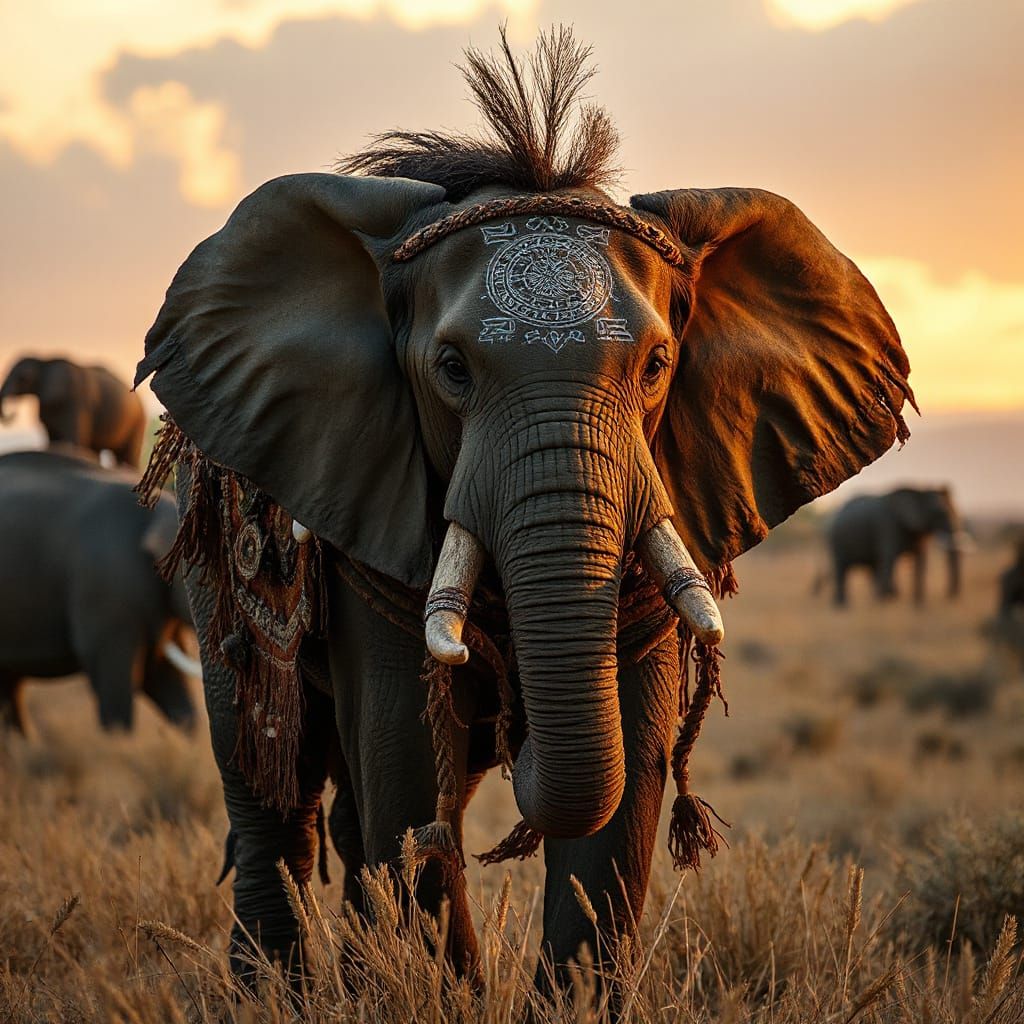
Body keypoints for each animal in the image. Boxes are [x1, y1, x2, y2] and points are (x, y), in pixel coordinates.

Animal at [0, 355, 147, 467]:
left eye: (23, 378)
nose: (14, 411)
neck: (45, 361)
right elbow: (52, 439)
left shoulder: (77, 403)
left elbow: (75, 439)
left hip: (138, 422)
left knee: (129, 457)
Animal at [133, 30, 914, 1002]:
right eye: (452, 369)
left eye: (657, 365)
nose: (511, 712)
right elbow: (404, 767)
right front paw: (438, 994)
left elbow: (627, 779)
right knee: (271, 783)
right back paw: (276, 992)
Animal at [825, 486, 965, 606]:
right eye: (939, 512)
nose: (949, 597)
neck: (918, 489)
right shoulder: (887, 525)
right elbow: (889, 558)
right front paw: (882, 605)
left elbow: (920, 561)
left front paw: (918, 607)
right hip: (836, 539)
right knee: (841, 569)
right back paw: (842, 607)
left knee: (872, 567)